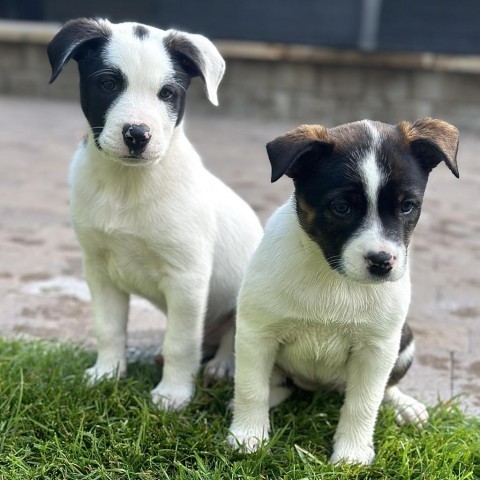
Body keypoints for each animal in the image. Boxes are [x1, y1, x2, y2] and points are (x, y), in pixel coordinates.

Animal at [48, 17, 262, 408]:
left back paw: (223, 365)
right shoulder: (99, 269)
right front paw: (107, 373)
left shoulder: (187, 278)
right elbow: (108, 327)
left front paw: (173, 394)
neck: (127, 185)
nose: (137, 134)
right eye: (108, 83)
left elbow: (181, 342)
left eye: (167, 93)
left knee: (234, 338)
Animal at [227, 117, 460, 464]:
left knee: (385, 389)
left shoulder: (377, 348)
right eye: (341, 207)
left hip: (404, 341)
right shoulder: (258, 333)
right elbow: (251, 388)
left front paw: (352, 454)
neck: (334, 277)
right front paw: (248, 436)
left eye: (407, 207)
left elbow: (364, 403)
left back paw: (405, 406)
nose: (382, 262)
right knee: (275, 382)